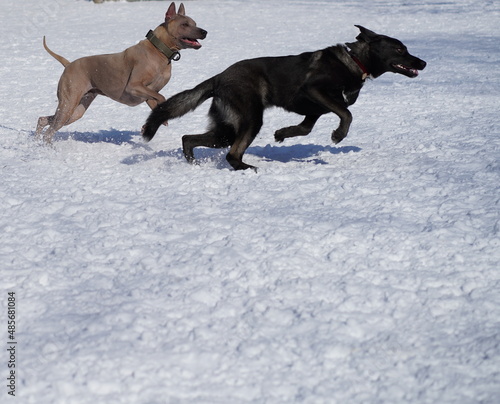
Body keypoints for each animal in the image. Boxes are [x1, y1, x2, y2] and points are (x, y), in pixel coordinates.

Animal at [36, 1, 205, 142]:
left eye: (195, 23)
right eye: (185, 24)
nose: (204, 32)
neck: (159, 51)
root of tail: (69, 64)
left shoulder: (149, 94)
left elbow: (156, 102)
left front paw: (149, 125)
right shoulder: (134, 87)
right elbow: (161, 97)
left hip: (76, 111)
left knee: (44, 120)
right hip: (68, 104)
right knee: (49, 132)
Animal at [144, 25, 426, 170]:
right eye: (400, 49)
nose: (423, 63)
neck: (355, 62)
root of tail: (219, 77)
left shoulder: (313, 112)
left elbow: (304, 128)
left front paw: (282, 134)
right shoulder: (315, 90)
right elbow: (347, 112)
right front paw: (338, 135)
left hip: (226, 129)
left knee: (189, 138)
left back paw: (192, 162)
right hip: (249, 120)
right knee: (231, 155)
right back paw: (247, 168)